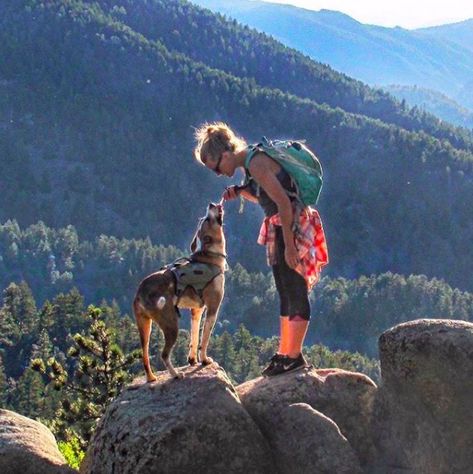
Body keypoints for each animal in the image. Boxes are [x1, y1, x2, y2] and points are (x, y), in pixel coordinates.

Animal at [133, 204, 227, 382]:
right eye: (207, 219)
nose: (211, 204)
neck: (209, 257)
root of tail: (140, 291)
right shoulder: (213, 308)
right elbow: (205, 338)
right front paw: (204, 360)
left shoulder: (196, 310)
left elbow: (194, 336)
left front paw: (193, 360)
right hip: (171, 323)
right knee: (164, 354)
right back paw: (176, 374)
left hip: (144, 326)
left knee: (145, 355)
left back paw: (151, 378)